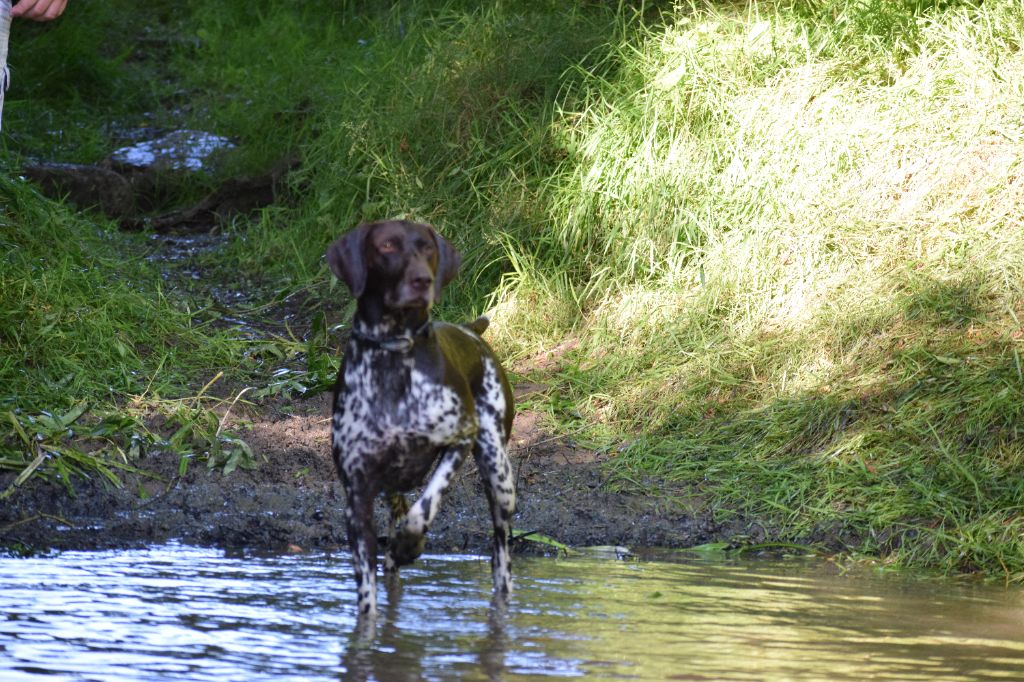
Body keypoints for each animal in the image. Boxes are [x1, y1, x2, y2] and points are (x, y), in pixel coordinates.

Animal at [327, 219, 516, 614]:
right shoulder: (357, 495)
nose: (421, 280)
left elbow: (426, 506)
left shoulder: (460, 438)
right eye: (386, 246)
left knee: (501, 553)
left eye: (427, 247)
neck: (393, 354)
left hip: (499, 474)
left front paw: (410, 542)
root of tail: (470, 331)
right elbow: (367, 594)